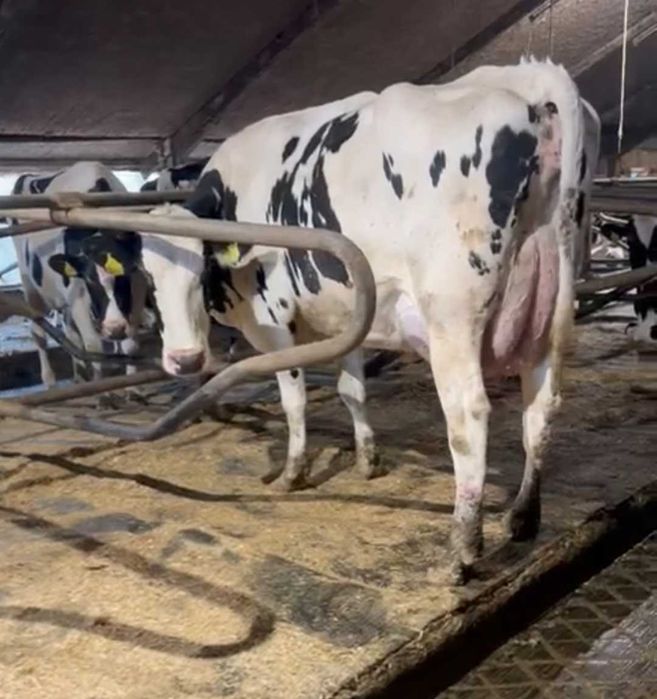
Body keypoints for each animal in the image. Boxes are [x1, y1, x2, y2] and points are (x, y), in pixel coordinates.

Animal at [11, 161, 147, 387]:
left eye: (124, 275)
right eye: (90, 279)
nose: (115, 328)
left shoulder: (136, 291)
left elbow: (131, 346)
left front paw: (133, 385)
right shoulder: (78, 299)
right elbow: (94, 347)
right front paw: (103, 390)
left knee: (70, 333)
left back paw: (78, 376)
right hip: (29, 284)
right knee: (38, 332)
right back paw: (49, 380)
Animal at [85, 59, 598, 581]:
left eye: (202, 266)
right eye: (146, 273)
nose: (185, 360)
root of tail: (526, 78)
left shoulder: (274, 320)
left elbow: (293, 401)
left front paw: (292, 473)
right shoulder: (349, 312)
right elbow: (352, 389)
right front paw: (368, 460)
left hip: (452, 318)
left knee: (469, 417)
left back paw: (461, 551)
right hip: (553, 306)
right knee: (541, 406)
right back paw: (523, 518)